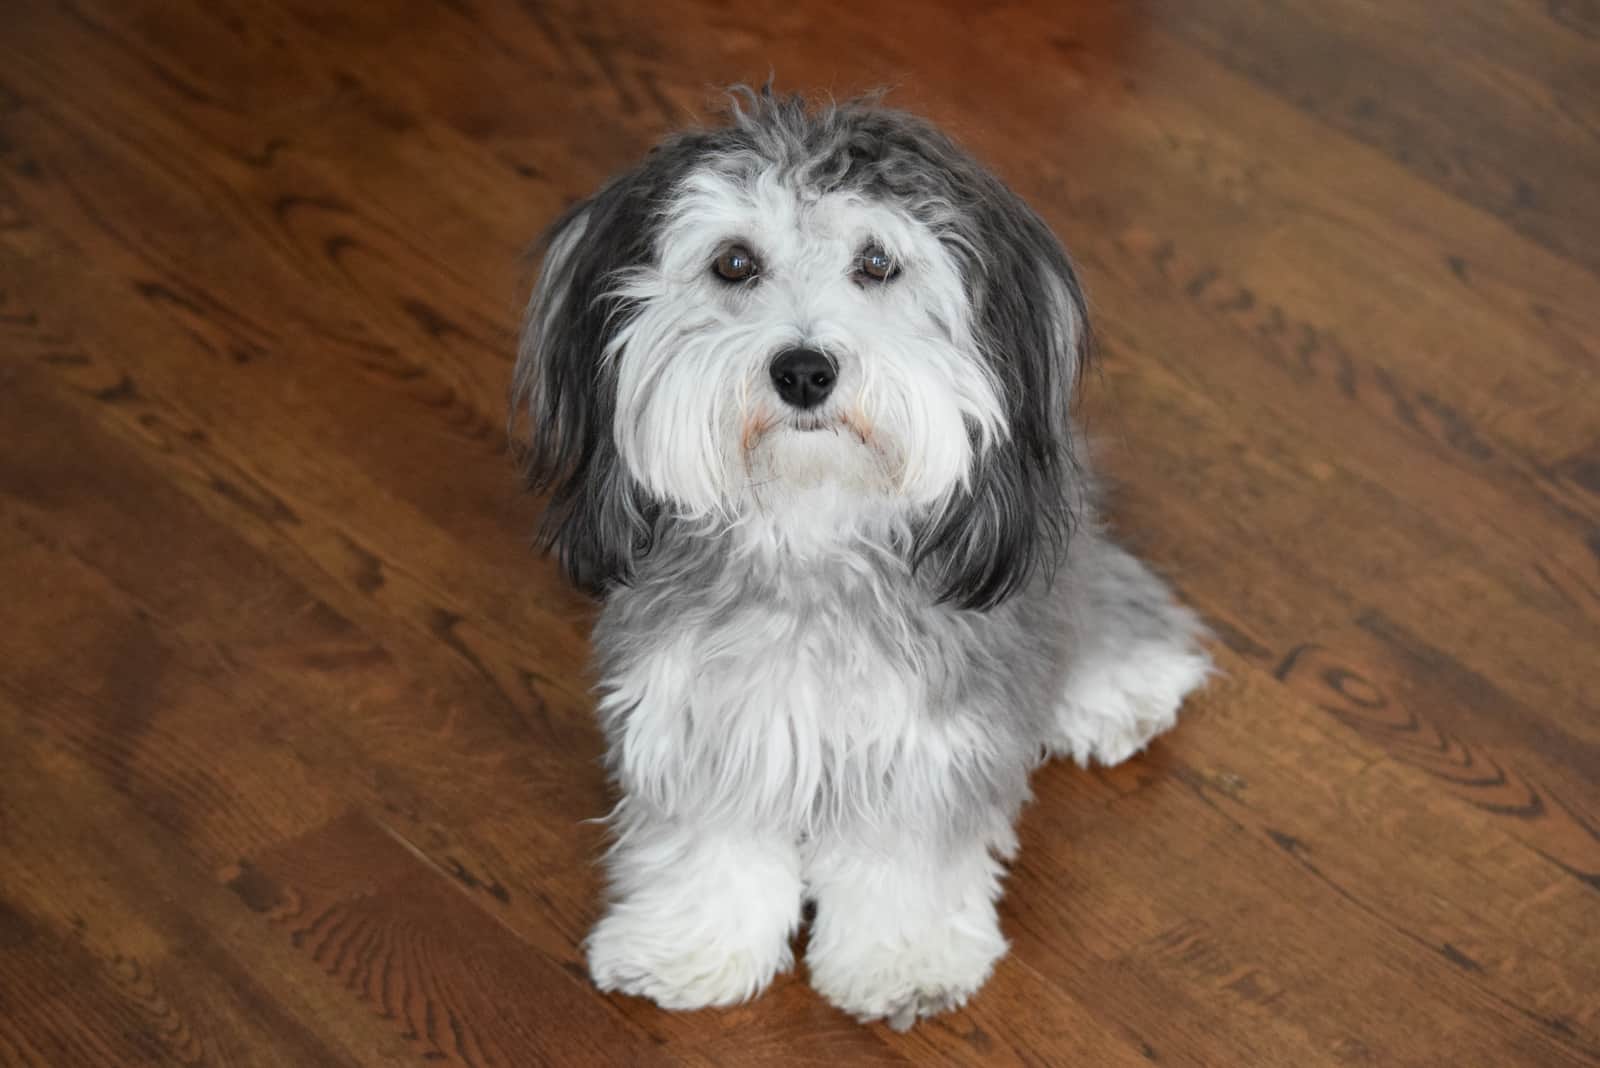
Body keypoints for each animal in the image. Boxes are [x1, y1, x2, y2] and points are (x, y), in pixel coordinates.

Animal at [512, 87, 1209, 1029]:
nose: (804, 371)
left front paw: (902, 960)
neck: (810, 526)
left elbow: (905, 858)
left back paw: (1122, 683)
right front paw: (691, 944)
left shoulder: (931, 738)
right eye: (734, 263)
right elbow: (708, 842)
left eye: (877, 263)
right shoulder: (702, 716)